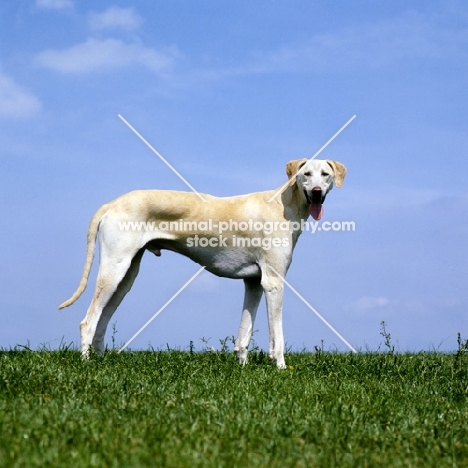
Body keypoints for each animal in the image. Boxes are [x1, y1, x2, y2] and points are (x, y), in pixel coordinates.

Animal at [58, 159, 346, 368]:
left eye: (325, 174)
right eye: (306, 174)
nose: (317, 192)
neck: (283, 205)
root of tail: (112, 203)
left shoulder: (253, 282)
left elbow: (244, 333)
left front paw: (242, 367)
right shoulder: (273, 283)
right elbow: (278, 336)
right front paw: (281, 368)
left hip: (125, 277)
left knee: (102, 320)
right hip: (113, 270)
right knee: (88, 321)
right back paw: (86, 365)